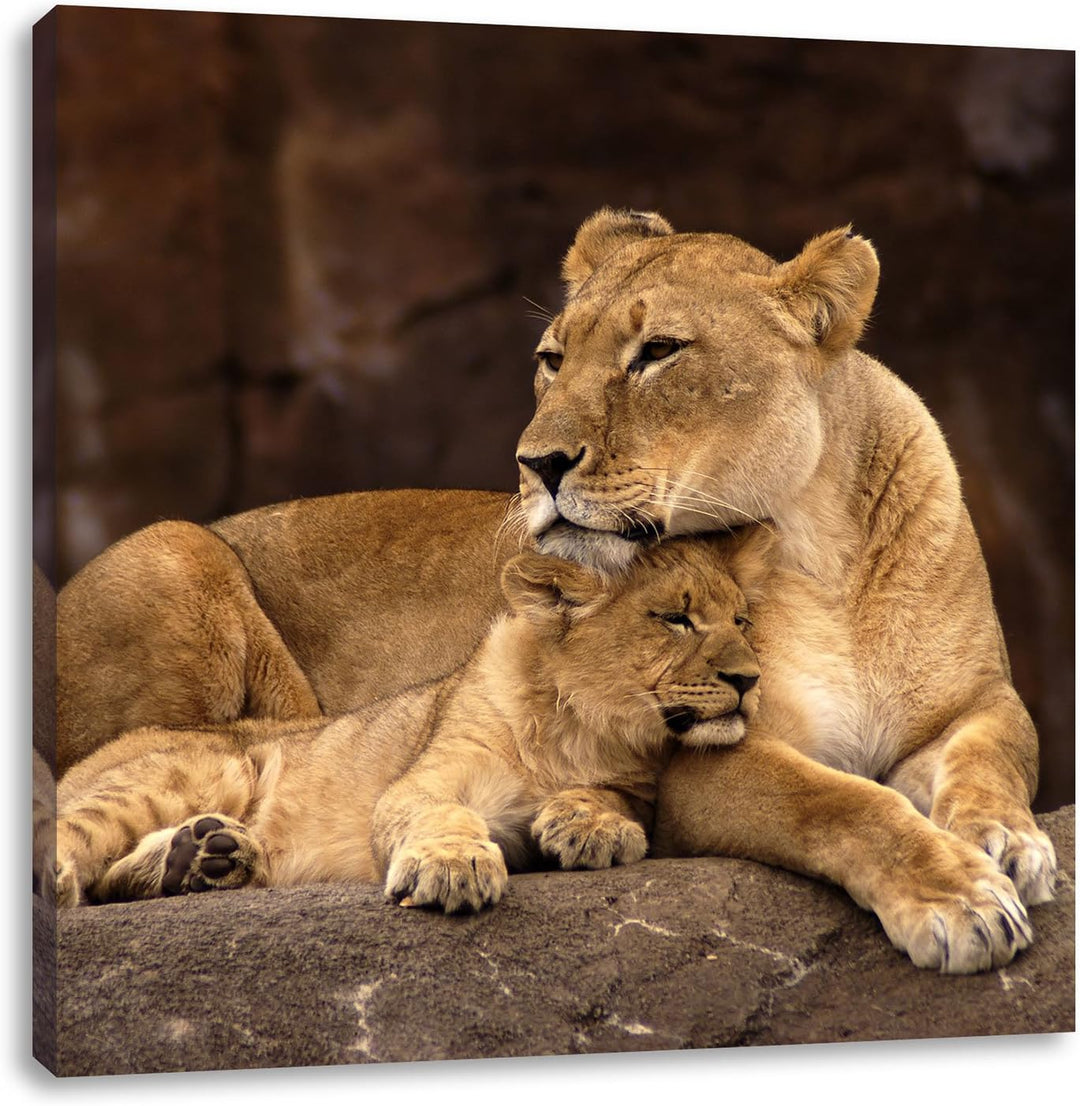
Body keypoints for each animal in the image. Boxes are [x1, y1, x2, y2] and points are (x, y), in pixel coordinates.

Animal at [52, 537, 765, 912]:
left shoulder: (639, 783)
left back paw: (204, 859)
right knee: (78, 836)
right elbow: (440, 814)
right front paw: (452, 868)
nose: (750, 678)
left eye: (742, 621)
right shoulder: (422, 780)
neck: (582, 730)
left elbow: (617, 798)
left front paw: (589, 825)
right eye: (675, 619)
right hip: (209, 765)